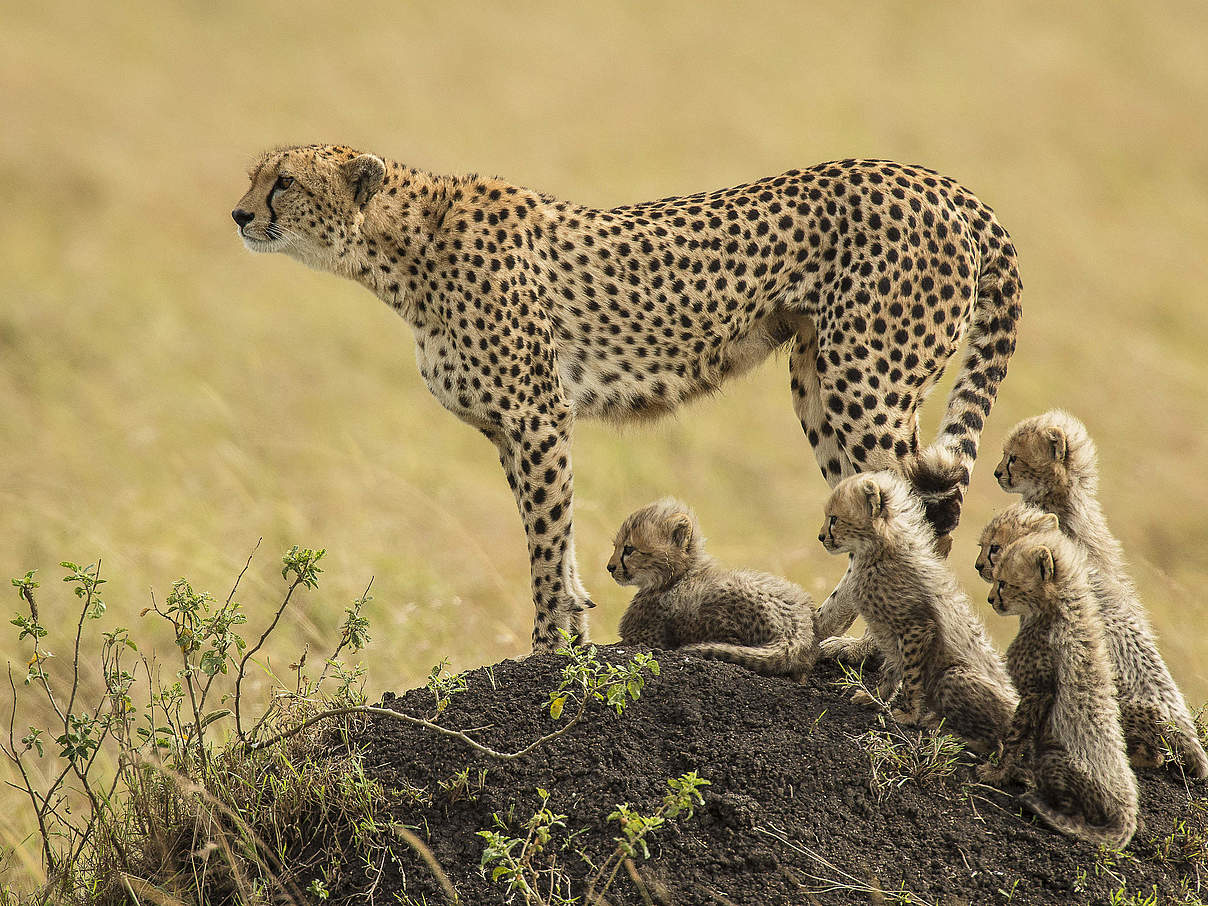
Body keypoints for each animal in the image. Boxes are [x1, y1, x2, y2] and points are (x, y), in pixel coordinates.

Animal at [233, 143, 1019, 652]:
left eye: (284, 182)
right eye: (254, 177)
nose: (239, 215)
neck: (401, 250)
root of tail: (937, 180)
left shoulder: (536, 415)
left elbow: (547, 538)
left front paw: (550, 646)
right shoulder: (511, 430)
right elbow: (554, 537)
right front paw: (574, 625)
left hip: (867, 381)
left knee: (917, 514)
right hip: (818, 382)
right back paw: (822, 633)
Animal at [608, 500, 816, 686]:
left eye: (629, 548)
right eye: (615, 546)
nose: (609, 567)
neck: (677, 577)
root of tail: (798, 628)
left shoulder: (645, 639)